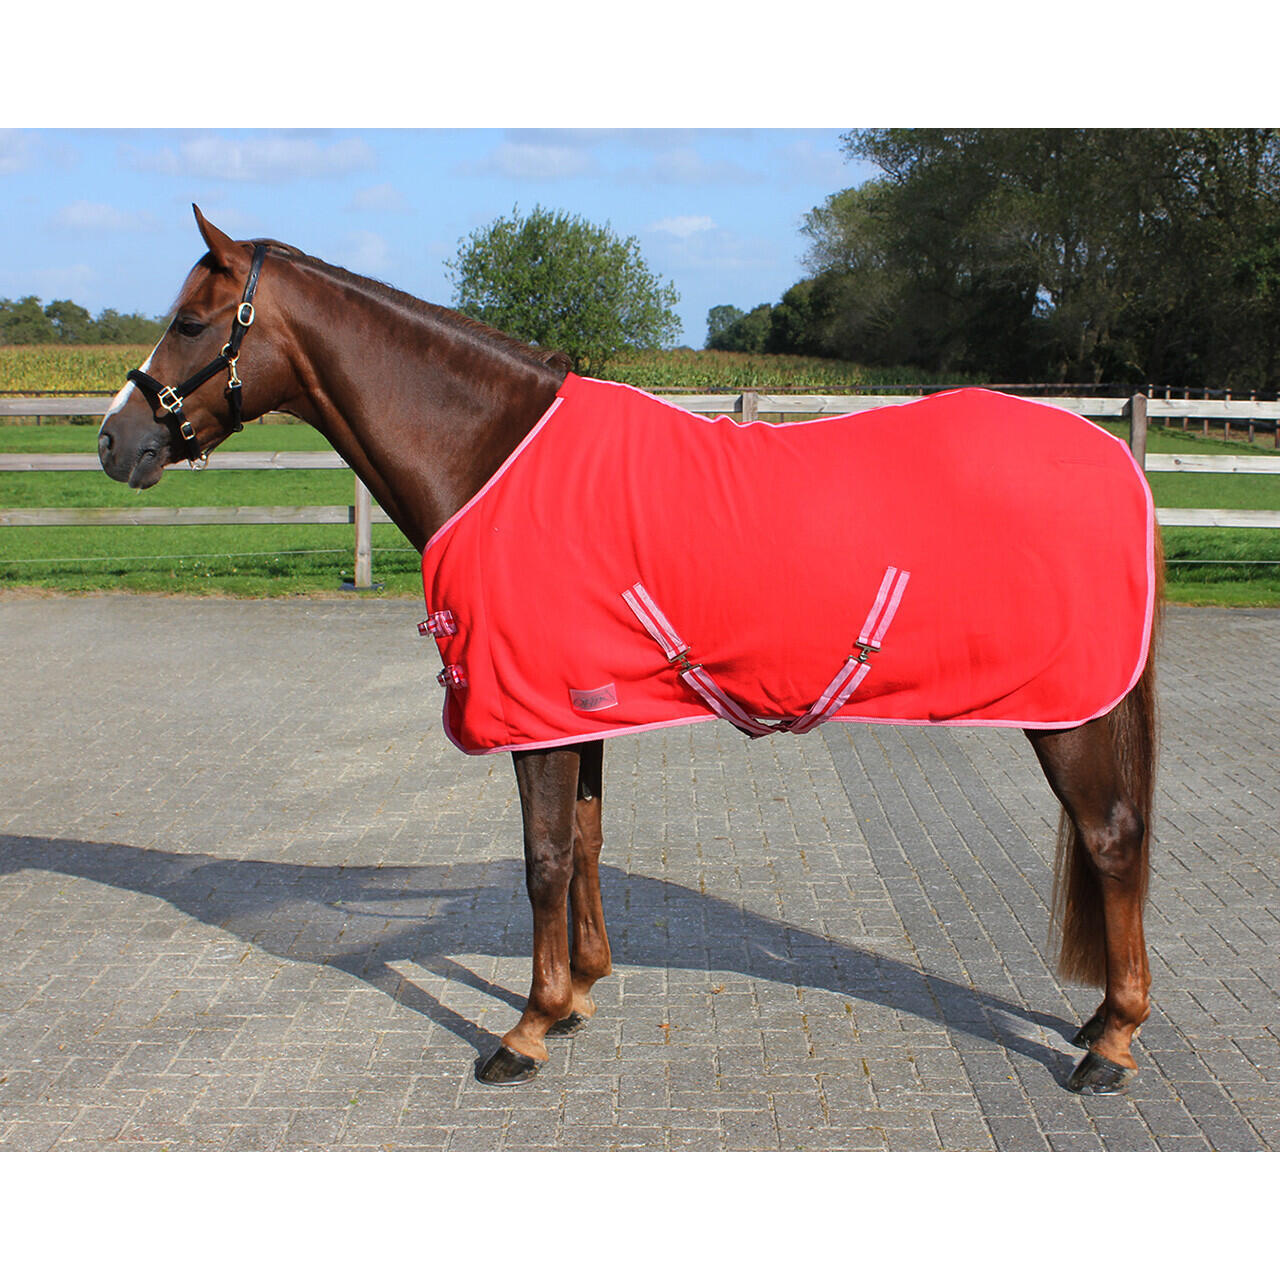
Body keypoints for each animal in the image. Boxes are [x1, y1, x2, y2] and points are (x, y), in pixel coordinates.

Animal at [97, 206, 1162, 1095]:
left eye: (190, 322)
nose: (115, 441)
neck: (493, 453)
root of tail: (1115, 457)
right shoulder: (577, 702)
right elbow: (585, 843)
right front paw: (576, 996)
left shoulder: (531, 711)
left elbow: (541, 857)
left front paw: (525, 1029)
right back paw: (1100, 1023)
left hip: (1067, 710)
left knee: (1111, 838)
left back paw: (1111, 1044)